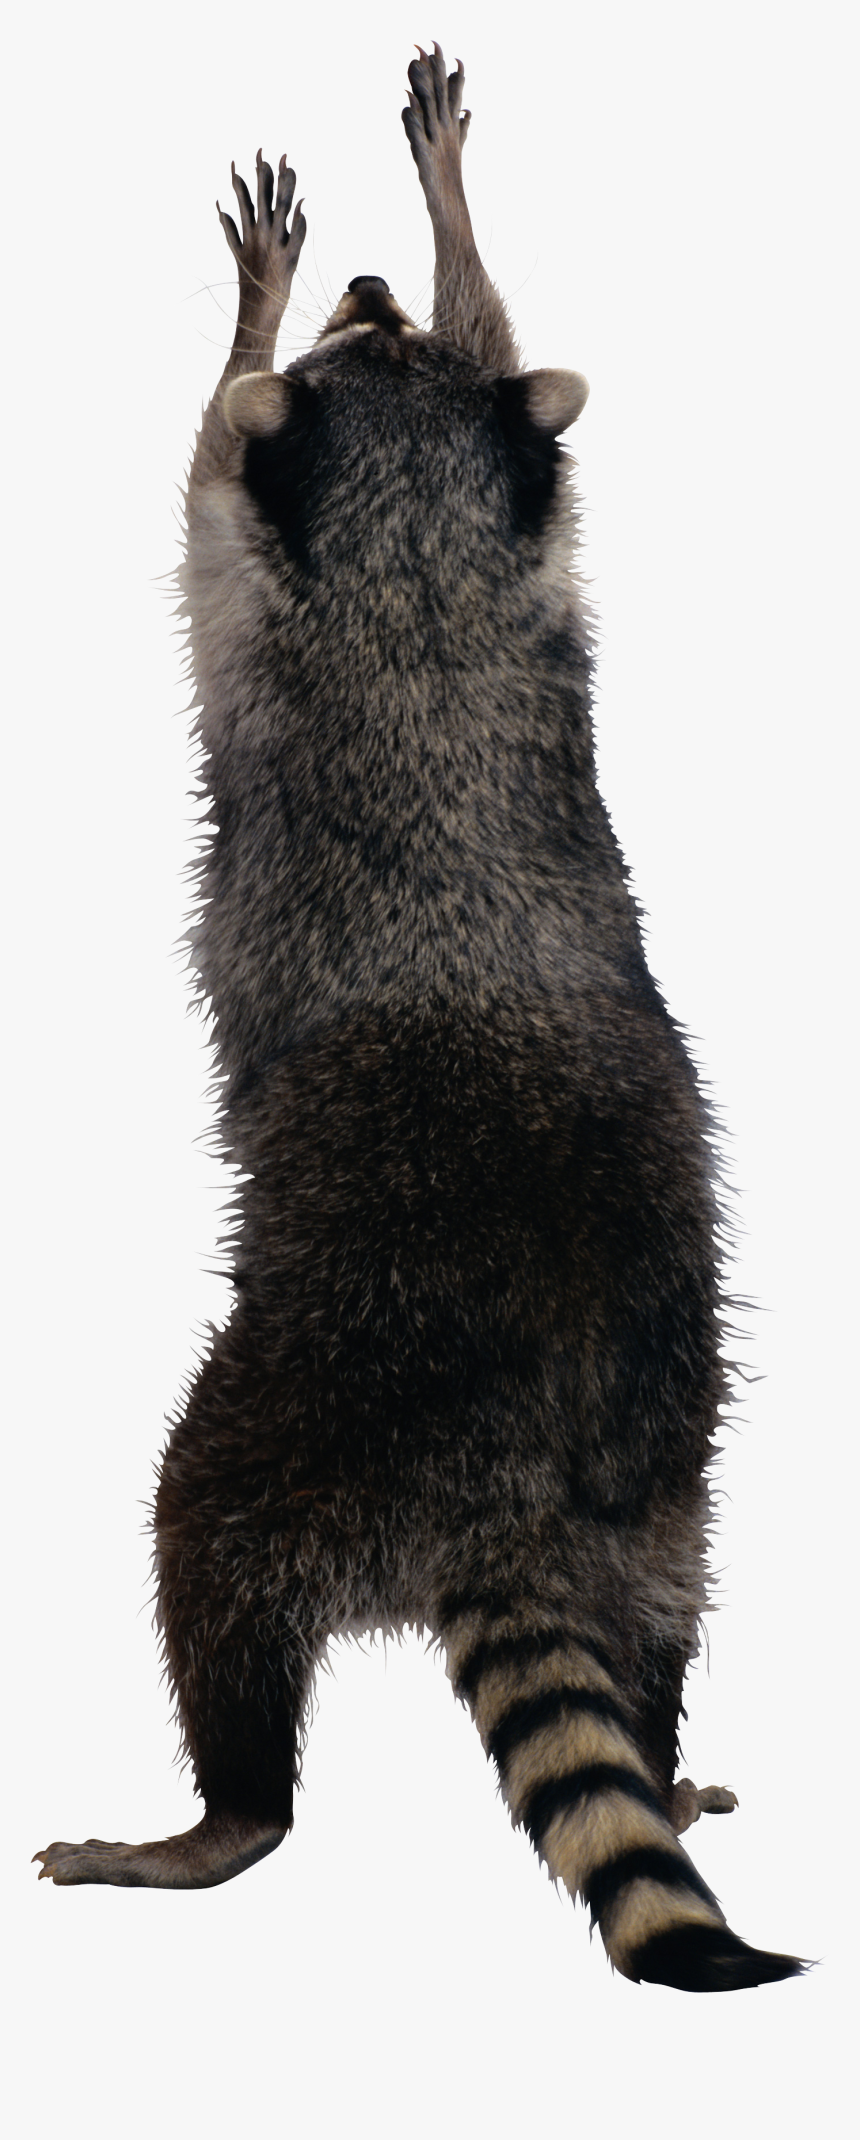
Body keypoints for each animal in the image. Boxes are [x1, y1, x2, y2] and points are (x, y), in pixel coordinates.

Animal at [35, 44, 803, 1993]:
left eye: (353, 346)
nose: (374, 282)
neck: (424, 554)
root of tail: (511, 1480)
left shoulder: (250, 575)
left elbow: (196, 454)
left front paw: (273, 294)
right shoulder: (536, 559)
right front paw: (449, 232)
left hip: (309, 1397)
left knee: (205, 1545)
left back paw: (222, 1816)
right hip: (665, 1469)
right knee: (659, 1619)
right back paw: (659, 1755)